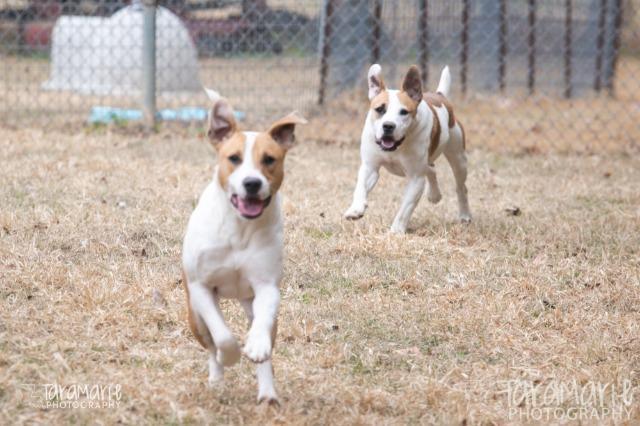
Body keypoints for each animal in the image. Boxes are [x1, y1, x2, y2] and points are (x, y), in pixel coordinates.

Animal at [182, 89, 308, 402]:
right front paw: (229, 356)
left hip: (252, 303)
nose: (252, 183)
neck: (240, 228)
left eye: (270, 159)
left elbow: (261, 328)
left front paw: (255, 348)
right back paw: (217, 378)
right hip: (193, 316)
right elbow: (222, 335)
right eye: (234, 158)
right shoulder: (201, 287)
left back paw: (267, 393)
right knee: (209, 343)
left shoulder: (266, 286)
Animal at [344, 63, 470, 233]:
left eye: (404, 112)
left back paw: (465, 215)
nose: (388, 126)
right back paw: (434, 194)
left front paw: (396, 231)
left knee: (460, 186)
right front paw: (355, 209)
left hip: (458, 158)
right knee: (431, 169)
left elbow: (405, 208)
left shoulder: (416, 178)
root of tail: (440, 95)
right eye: (380, 109)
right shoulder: (370, 167)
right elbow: (360, 187)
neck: (397, 146)